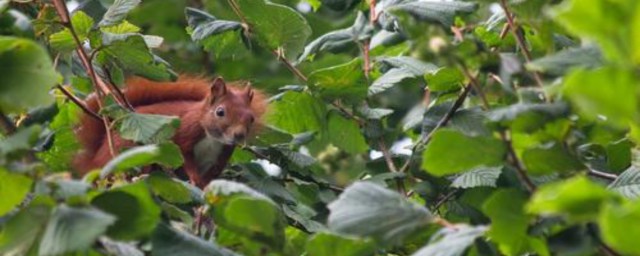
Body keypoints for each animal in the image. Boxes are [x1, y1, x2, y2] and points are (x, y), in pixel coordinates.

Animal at [73, 76, 268, 188]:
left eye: (251, 118)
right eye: (220, 112)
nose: (239, 135)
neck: (213, 139)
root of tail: (94, 162)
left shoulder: (220, 156)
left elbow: (212, 175)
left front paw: (205, 186)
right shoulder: (184, 133)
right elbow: (184, 157)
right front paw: (195, 179)